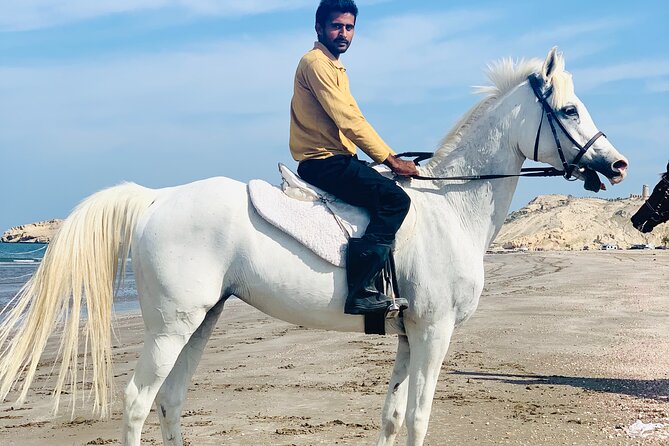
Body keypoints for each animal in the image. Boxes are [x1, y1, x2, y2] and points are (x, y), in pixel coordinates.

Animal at [0, 48, 628, 446]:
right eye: (569, 110)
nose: (618, 165)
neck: (450, 208)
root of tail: (158, 199)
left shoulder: (411, 335)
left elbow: (392, 417)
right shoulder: (434, 331)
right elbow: (419, 419)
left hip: (200, 321)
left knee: (170, 401)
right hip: (171, 326)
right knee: (136, 402)